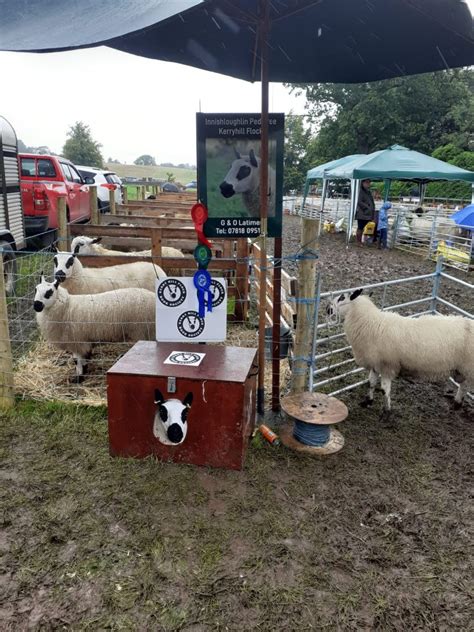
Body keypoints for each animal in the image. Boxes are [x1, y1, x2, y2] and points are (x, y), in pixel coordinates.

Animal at [328, 290, 472, 420]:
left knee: (465, 385)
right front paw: (367, 401)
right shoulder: (375, 364)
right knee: (464, 385)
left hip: (468, 367)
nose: (328, 309)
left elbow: (385, 390)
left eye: (341, 298)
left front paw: (386, 412)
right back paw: (457, 404)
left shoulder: (387, 366)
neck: (371, 323)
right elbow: (371, 383)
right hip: (463, 369)